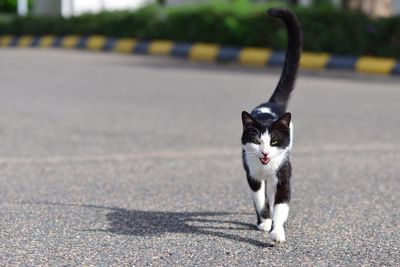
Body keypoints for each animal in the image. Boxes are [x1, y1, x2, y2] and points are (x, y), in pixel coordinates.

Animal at [239, 8, 302, 244]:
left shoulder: (284, 175)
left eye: (274, 141)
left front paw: (277, 232)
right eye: (257, 140)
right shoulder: (253, 175)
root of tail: (270, 103)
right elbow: (259, 198)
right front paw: (265, 221)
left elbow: (281, 205)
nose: (265, 153)